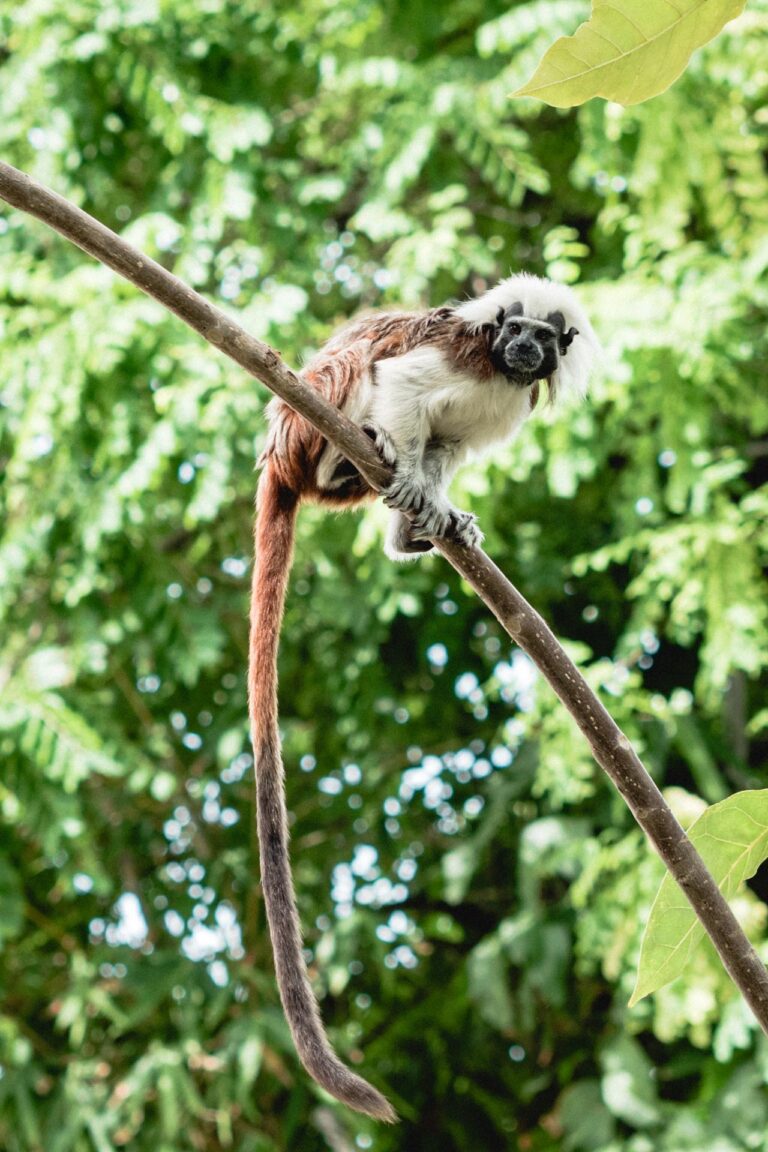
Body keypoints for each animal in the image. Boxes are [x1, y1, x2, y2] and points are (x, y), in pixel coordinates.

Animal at [248, 274, 597, 1121]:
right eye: (515, 331)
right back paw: (357, 459)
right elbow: (400, 384)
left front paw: (432, 514)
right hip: (308, 413)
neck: (497, 372)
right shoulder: (455, 354)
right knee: (358, 375)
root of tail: (280, 453)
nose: (524, 349)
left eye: (546, 338)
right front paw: (405, 474)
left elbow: (447, 444)